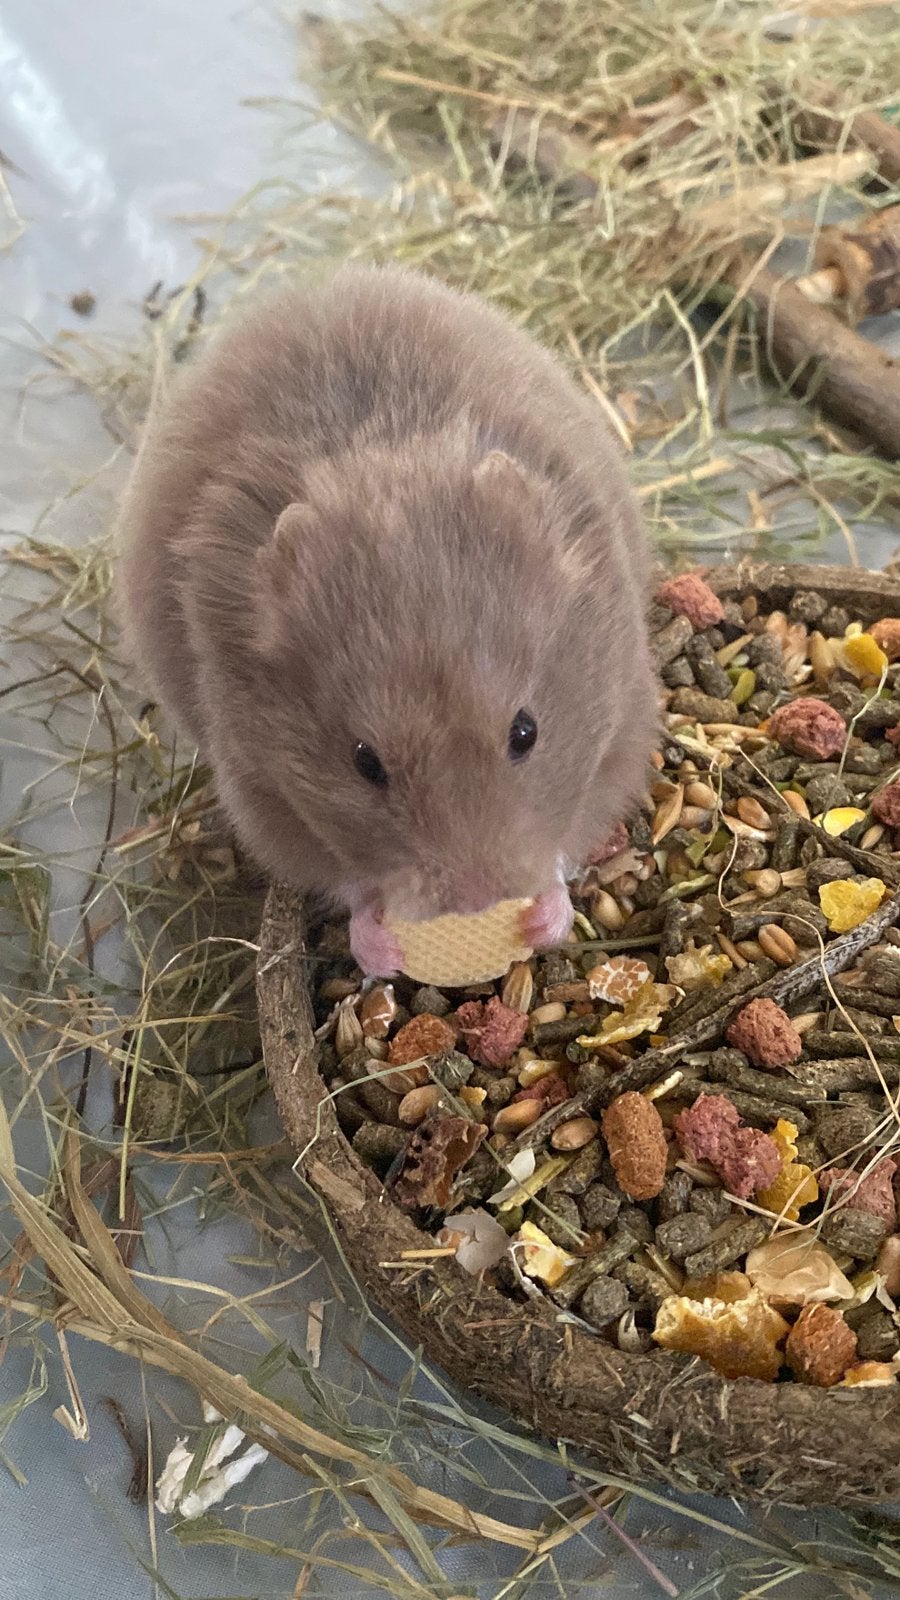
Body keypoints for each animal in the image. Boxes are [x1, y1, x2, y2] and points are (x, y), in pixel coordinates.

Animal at [117, 263, 658, 976]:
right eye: (364, 763)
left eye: (527, 732)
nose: (476, 899)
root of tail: (329, 285)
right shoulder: (260, 791)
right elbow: (345, 882)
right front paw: (384, 948)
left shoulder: (623, 727)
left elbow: (570, 844)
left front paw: (544, 917)